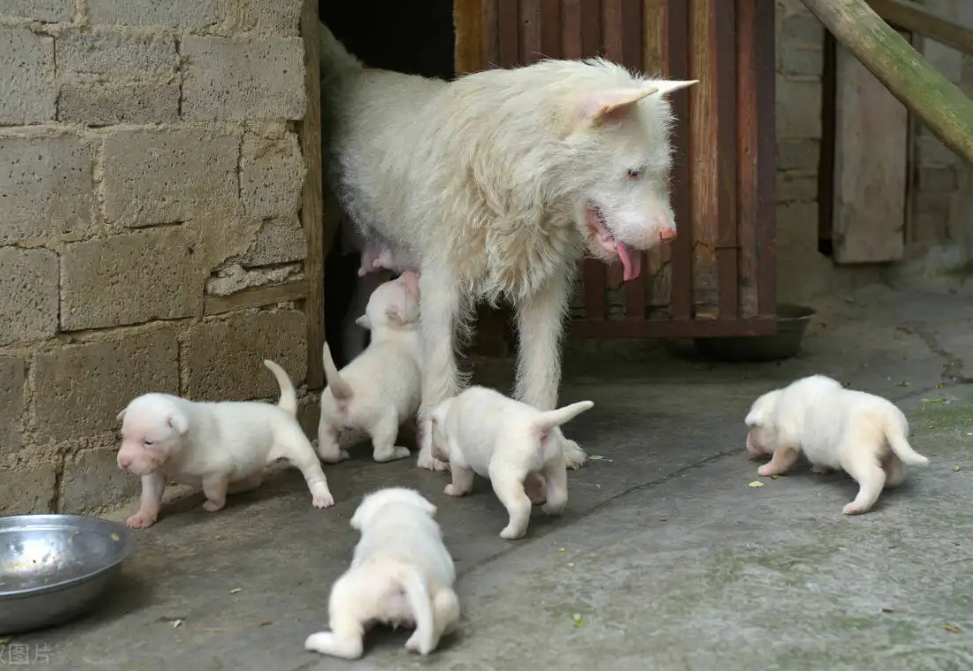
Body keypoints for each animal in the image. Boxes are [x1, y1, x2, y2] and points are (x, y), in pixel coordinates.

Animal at [117, 360, 334, 528]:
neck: (178, 449)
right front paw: (142, 517)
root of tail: (283, 410)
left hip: (297, 446)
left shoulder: (216, 470)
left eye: (148, 442)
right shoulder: (154, 472)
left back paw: (321, 496)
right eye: (124, 436)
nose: (123, 463)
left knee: (313, 472)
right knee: (254, 480)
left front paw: (214, 505)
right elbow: (150, 496)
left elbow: (212, 490)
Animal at [304, 486, 460, 660]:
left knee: (351, 646)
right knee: (442, 609)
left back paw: (314, 641)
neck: (394, 505)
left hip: (343, 595)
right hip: (438, 599)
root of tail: (402, 571)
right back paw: (416, 643)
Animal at [318, 270, 422, 464]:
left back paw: (340, 454)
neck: (389, 330)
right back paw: (400, 451)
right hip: (386, 420)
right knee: (381, 452)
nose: (409, 271)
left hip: (328, 420)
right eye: (403, 286)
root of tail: (346, 392)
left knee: (327, 450)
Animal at [430, 386, 592, 540]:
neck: (451, 409)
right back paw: (548, 509)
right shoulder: (530, 471)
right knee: (559, 496)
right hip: (555, 466)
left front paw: (452, 490)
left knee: (521, 506)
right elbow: (534, 481)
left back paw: (511, 533)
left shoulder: (459, 459)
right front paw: (538, 495)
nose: (433, 454)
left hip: (503, 474)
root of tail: (537, 422)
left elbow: (460, 481)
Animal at [748, 376, 932, 516]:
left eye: (752, 430)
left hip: (853, 452)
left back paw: (857, 506)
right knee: (895, 474)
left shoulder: (787, 437)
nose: (748, 447)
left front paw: (766, 469)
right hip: (892, 450)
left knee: (874, 476)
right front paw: (820, 468)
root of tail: (888, 418)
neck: (777, 404)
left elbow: (781, 456)